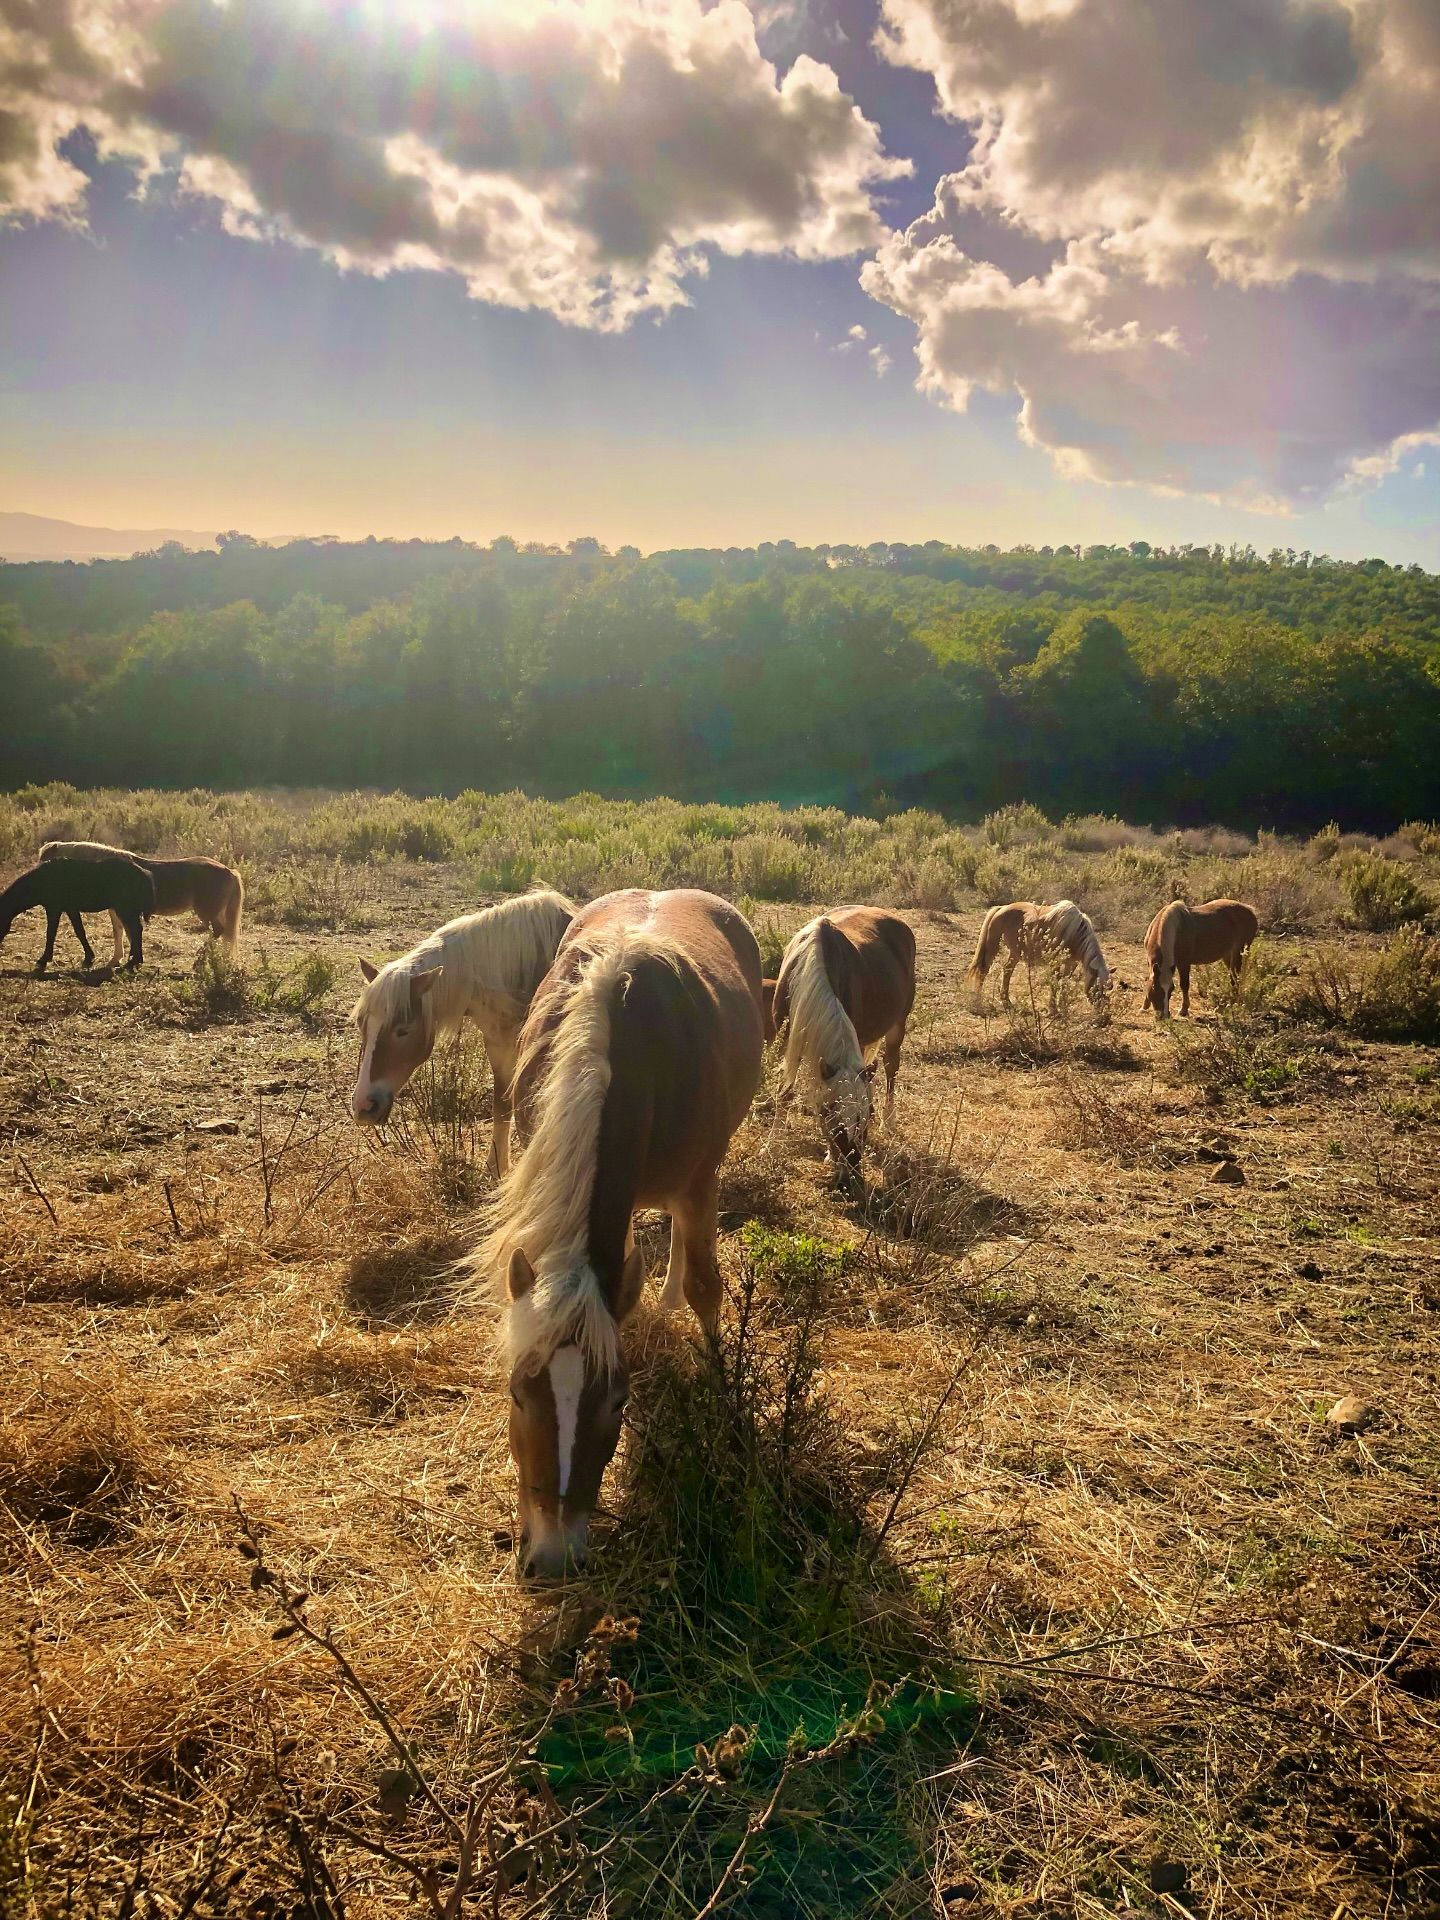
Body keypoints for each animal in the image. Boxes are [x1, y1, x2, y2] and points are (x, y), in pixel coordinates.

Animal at [0, 857, 155, 973]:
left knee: (135, 930)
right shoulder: (70, 909)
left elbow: (51, 933)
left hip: (125, 909)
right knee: (135, 931)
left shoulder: (54, 909)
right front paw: (88, 959)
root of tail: (144, 873)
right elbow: (79, 931)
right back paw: (134, 961)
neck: (45, 879)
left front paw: (43, 960)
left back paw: (132, 962)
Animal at [40, 841, 243, 964]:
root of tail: (229, 871)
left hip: (207, 911)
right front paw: (118, 959)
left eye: (45, 863)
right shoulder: (117, 911)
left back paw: (200, 959)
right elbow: (120, 932)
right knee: (225, 933)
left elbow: (130, 932)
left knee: (219, 930)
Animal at [351, 889, 573, 1175]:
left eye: (403, 1030)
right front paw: (496, 1167)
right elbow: (502, 1106)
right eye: (362, 1025)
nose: (363, 1106)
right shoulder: (499, 1047)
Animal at [466, 887, 764, 1579]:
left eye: (619, 1403)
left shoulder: (698, 1185)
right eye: (517, 1395)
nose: (554, 1557)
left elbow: (707, 1288)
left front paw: (721, 1395)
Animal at [770, 906, 916, 1185]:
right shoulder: (788, 1035)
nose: (851, 1176)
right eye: (829, 1114)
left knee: (891, 1068)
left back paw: (889, 1121)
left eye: (868, 1115)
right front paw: (772, 1145)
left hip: (898, 1023)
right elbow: (785, 1089)